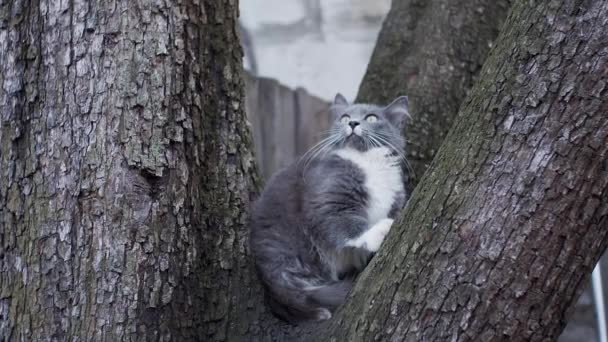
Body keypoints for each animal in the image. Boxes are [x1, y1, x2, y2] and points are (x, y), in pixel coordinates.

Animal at [249, 93, 410, 324]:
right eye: (345, 117)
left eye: (371, 118)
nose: (353, 123)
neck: (367, 163)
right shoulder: (328, 198)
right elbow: (344, 226)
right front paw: (380, 230)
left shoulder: (395, 198)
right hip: (285, 254)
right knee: (294, 296)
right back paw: (317, 311)